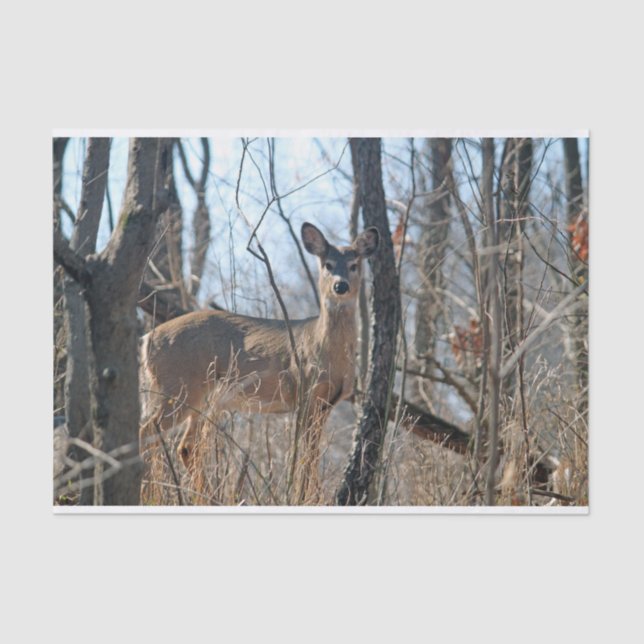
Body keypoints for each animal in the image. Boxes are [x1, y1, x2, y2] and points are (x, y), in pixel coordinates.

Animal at [139, 222, 380, 502]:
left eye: (354, 264)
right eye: (327, 264)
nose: (340, 286)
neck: (325, 349)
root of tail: (147, 340)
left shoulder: (326, 403)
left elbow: (312, 453)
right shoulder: (306, 392)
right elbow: (305, 454)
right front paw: (304, 497)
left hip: (196, 396)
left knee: (185, 446)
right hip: (179, 387)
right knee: (149, 433)